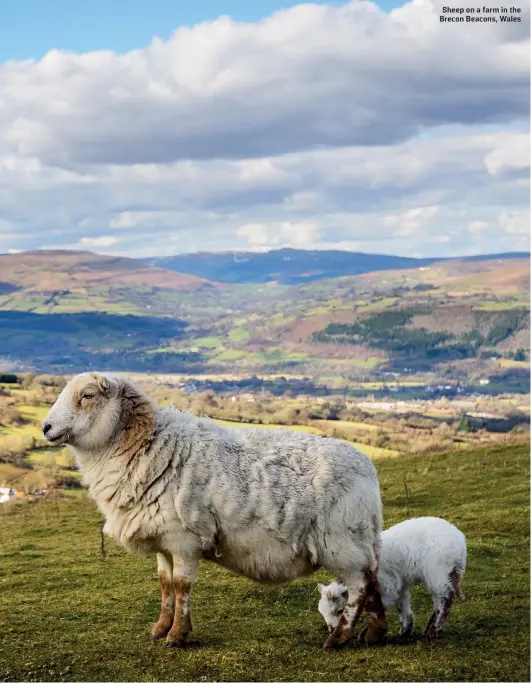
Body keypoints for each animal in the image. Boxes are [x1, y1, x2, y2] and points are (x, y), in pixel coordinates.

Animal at [42, 374, 390, 652]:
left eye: (87, 396)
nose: (46, 427)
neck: (148, 446)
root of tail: (368, 469)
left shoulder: (184, 539)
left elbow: (181, 586)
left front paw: (177, 636)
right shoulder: (164, 538)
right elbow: (164, 584)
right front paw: (160, 629)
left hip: (341, 541)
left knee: (360, 586)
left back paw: (339, 638)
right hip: (361, 541)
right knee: (373, 580)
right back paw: (375, 633)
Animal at [318, 520, 468, 640]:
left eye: (339, 611)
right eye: (323, 613)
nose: (331, 630)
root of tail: (460, 543)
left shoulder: (388, 586)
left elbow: (377, 608)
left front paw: (366, 634)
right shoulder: (398, 586)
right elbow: (402, 606)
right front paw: (405, 630)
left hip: (437, 571)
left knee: (445, 599)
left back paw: (435, 631)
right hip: (445, 574)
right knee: (438, 601)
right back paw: (429, 629)